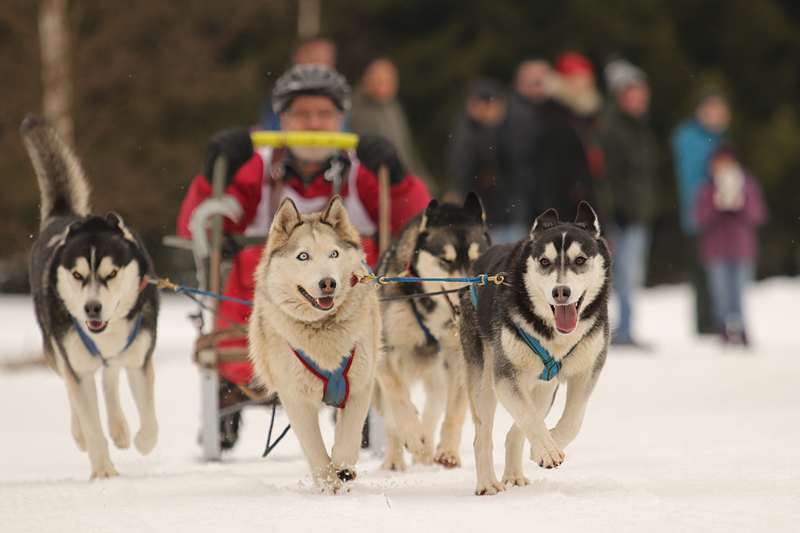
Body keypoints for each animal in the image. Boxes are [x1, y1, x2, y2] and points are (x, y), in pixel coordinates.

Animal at [22, 113, 160, 478]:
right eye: (77, 275)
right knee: (73, 388)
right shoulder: (75, 364)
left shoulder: (139, 359)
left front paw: (140, 441)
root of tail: (65, 216)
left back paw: (121, 428)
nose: (92, 309)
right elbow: (87, 412)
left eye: (111, 273)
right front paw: (103, 472)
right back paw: (82, 433)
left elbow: (150, 422)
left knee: (110, 376)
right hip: (55, 349)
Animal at [248, 194, 380, 490]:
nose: (328, 283)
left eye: (334, 254)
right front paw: (329, 482)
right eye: (303, 256)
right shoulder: (295, 399)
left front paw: (344, 469)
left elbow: (348, 443)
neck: (323, 329)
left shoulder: (360, 386)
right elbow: (317, 454)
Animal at [376, 192, 494, 470]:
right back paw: (396, 459)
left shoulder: (460, 359)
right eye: (445, 261)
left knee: (433, 410)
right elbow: (397, 395)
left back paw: (426, 451)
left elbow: (454, 413)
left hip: (439, 379)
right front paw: (410, 432)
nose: (465, 293)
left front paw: (448, 452)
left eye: (475, 261)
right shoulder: (386, 352)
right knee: (391, 417)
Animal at [460, 202, 608, 492]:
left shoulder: (588, 370)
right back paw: (488, 483)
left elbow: (573, 419)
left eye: (580, 260)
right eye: (544, 262)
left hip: (544, 389)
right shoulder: (506, 377)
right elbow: (527, 416)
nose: (560, 292)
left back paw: (515, 473)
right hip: (485, 382)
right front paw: (547, 449)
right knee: (483, 435)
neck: (555, 336)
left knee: (516, 431)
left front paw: (550, 443)